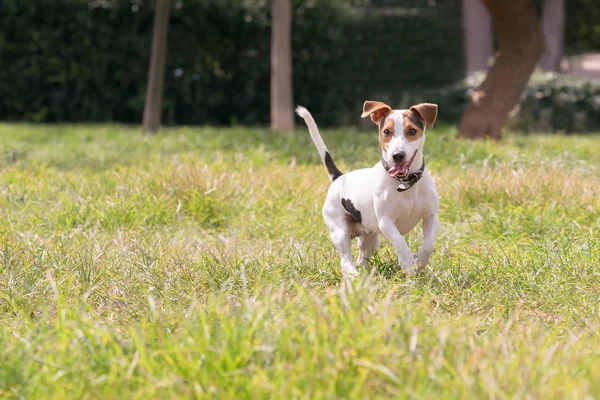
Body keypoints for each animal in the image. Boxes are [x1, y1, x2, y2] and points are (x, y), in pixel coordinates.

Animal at [296, 99, 440, 276]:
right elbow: (400, 242)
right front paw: (407, 264)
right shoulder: (386, 222)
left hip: (370, 237)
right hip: (340, 231)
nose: (397, 155)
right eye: (386, 132)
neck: (405, 183)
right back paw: (353, 275)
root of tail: (339, 178)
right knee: (345, 259)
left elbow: (428, 245)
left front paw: (419, 261)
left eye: (412, 130)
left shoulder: (431, 217)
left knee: (363, 256)